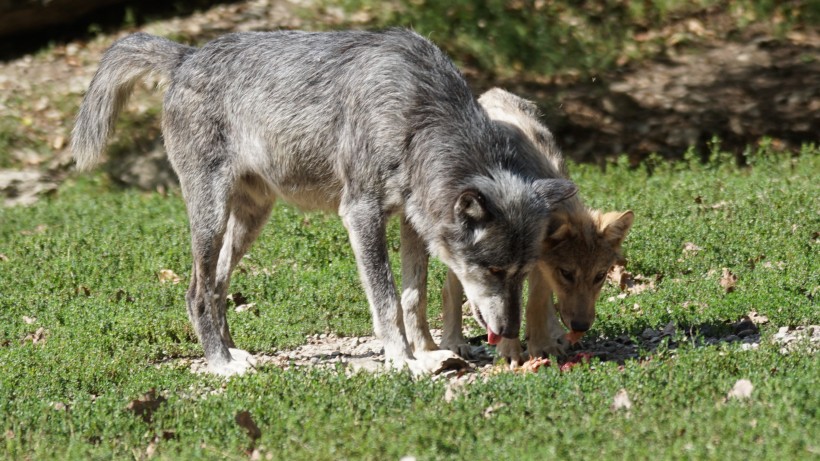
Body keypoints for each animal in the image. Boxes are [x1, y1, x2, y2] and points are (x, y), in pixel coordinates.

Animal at [70, 28, 576, 376]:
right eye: (492, 269)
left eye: (522, 273)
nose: (508, 332)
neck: (420, 120)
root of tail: (187, 56)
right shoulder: (361, 215)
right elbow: (388, 302)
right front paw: (404, 361)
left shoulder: (414, 224)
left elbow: (414, 296)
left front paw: (432, 353)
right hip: (211, 216)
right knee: (196, 291)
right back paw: (221, 365)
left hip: (250, 220)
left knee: (216, 287)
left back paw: (233, 351)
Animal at [442, 88, 636, 364]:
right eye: (567, 273)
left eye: (599, 276)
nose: (581, 326)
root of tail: (492, 92)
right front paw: (510, 352)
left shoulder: (540, 264)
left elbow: (537, 303)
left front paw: (543, 346)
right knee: (450, 289)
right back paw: (454, 342)